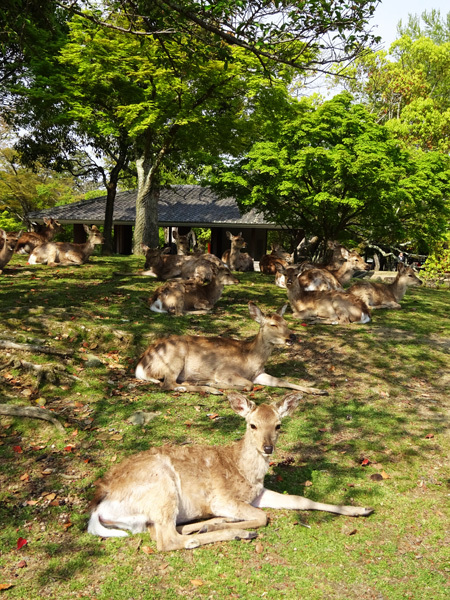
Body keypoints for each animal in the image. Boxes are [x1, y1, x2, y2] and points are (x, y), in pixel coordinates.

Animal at [88, 392, 372, 552]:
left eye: (278, 425)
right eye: (252, 424)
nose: (267, 448)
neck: (244, 471)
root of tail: (99, 509)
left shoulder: (257, 493)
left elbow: (299, 500)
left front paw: (361, 509)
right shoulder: (220, 498)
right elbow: (262, 517)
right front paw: (234, 525)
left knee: (161, 532)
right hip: (161, 488)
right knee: (166, 541)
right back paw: (233, 532)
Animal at [135, 302, 326, 396]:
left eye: (285, 322)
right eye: (273, 324)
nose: (292, 337)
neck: (250, 359)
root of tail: (140, 367)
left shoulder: (259, 374)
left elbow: (283, 382)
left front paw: (318, 390)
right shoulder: (224, 371)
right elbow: (248, 385)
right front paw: (215, 384)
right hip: (175, 358)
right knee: (167, 384)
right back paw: (211, 388)